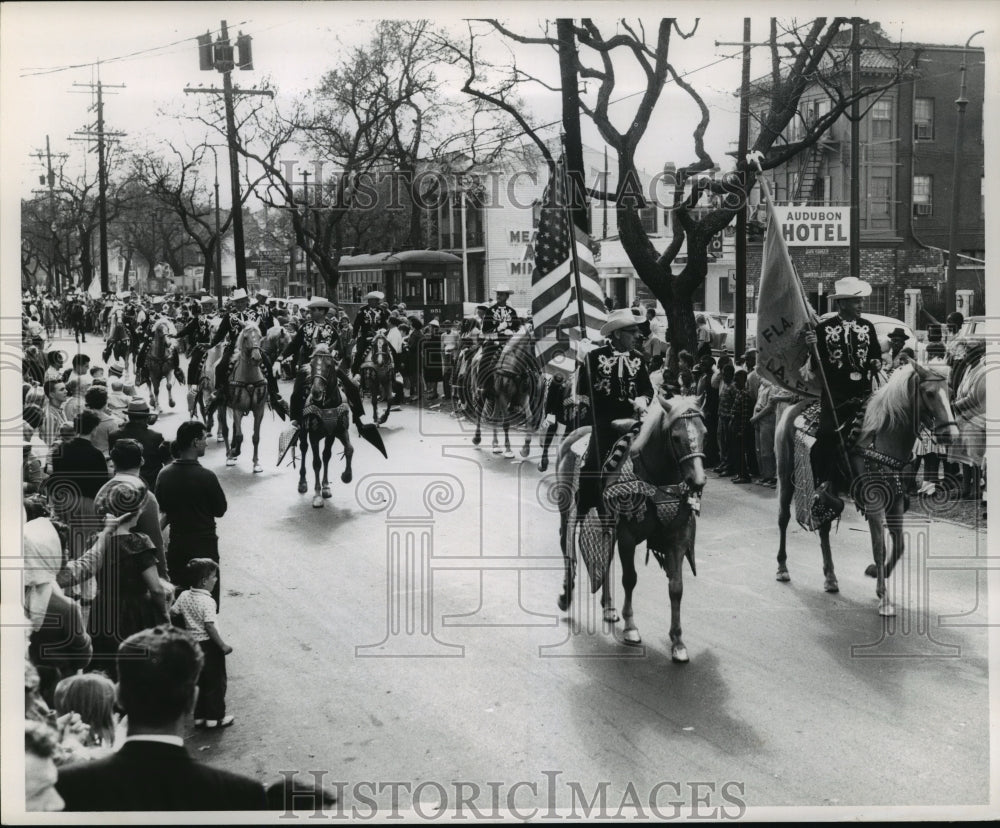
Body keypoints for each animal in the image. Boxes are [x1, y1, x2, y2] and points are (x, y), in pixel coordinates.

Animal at [218, 326, 268, 476]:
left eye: (260, 336)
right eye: (245, 337)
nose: (256, 358)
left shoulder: (259, 410)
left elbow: (256, 437)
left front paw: (256, 463)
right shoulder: (237, 409)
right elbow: (240, 435)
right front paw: (234, 452)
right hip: (222, 405)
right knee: (226, 429)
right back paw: (229, 454)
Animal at [298, 346, 354, 508]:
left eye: (329, 365)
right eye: (311, 364)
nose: (315, 392)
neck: (328, 404)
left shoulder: (337, 431)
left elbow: (347, 450)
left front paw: (345, 477)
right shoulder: (314, 436)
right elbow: (316, 462)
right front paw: (317, 495)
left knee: (325, 456)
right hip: (303, 430)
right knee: (303, 449)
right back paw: (302, 483)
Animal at [556, 392, 712, 664]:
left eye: (704, 432)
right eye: (676, 437)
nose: (698, 481)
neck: (657, 479)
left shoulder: (677, 538)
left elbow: (676, 588)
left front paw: (678, 642)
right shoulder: (627, 536)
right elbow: (630, 579)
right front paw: (631, 628)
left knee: (605, 558)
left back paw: (608, 607)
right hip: (570, 512)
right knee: (567, 549)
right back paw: (566, 596)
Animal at [776, 360, 956, 616]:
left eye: (950, 393)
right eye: (930, 393)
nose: (951, 435)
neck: (884, 436)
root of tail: (795, 406)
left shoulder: (896, 499)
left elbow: (899, 545)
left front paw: (875, 573)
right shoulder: (874, 501)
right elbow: (879, 546)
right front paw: (884, 598)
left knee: (824, 527)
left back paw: (830, 578)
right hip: (785, 473)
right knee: (783, 518)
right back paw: (782, 568)